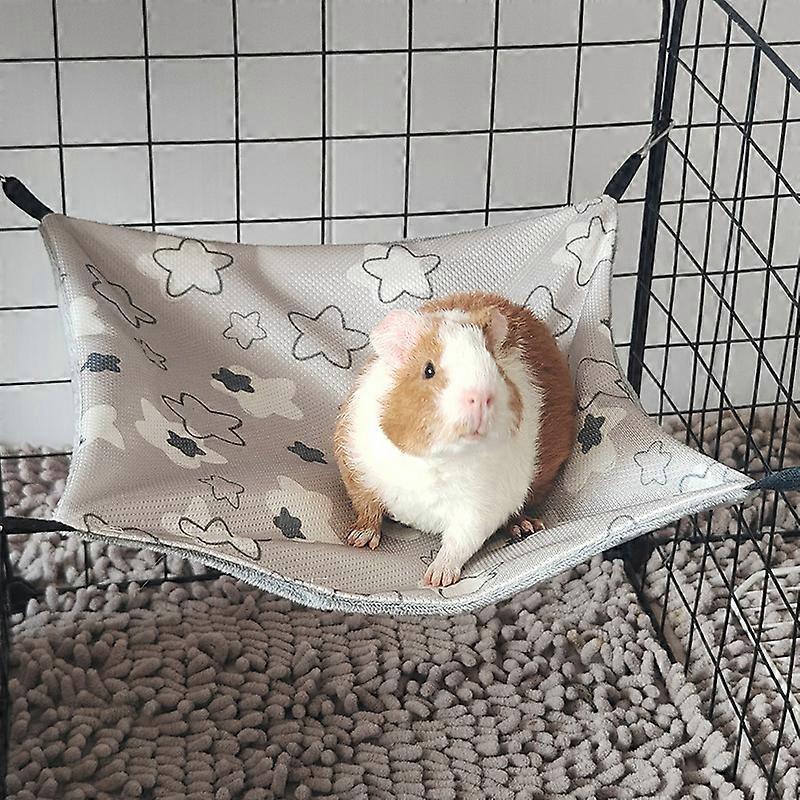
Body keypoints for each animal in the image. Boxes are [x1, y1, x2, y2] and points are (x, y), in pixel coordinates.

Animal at [334, 291, 576, 587]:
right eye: (428, 370)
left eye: (495, 366)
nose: (482, 397)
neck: (438, 459)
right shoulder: (358, 469)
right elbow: (367, 509)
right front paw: (358, 541)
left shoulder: (479, 511)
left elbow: (458, 544)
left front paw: (434, 579)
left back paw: (526, 527)